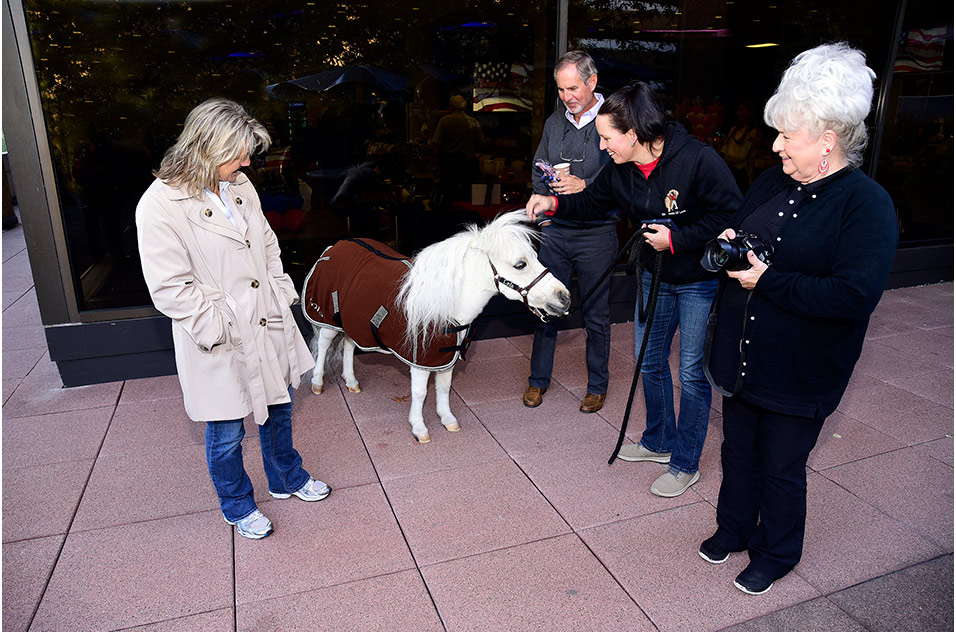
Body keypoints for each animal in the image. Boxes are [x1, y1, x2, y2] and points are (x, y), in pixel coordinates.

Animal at [308, 210, 568, 442]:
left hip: (352, 321)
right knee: (324, 345)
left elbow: (443, 388)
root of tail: (333, 247)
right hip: (328, 321)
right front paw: (419, 427)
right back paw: (317, 383)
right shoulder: (420, 360)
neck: (447, 303)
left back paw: (351, 381)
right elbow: (420, 392)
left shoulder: (445, 357)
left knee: (349, 344)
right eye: (520, 264)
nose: (564, 297)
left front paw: (447, 419)